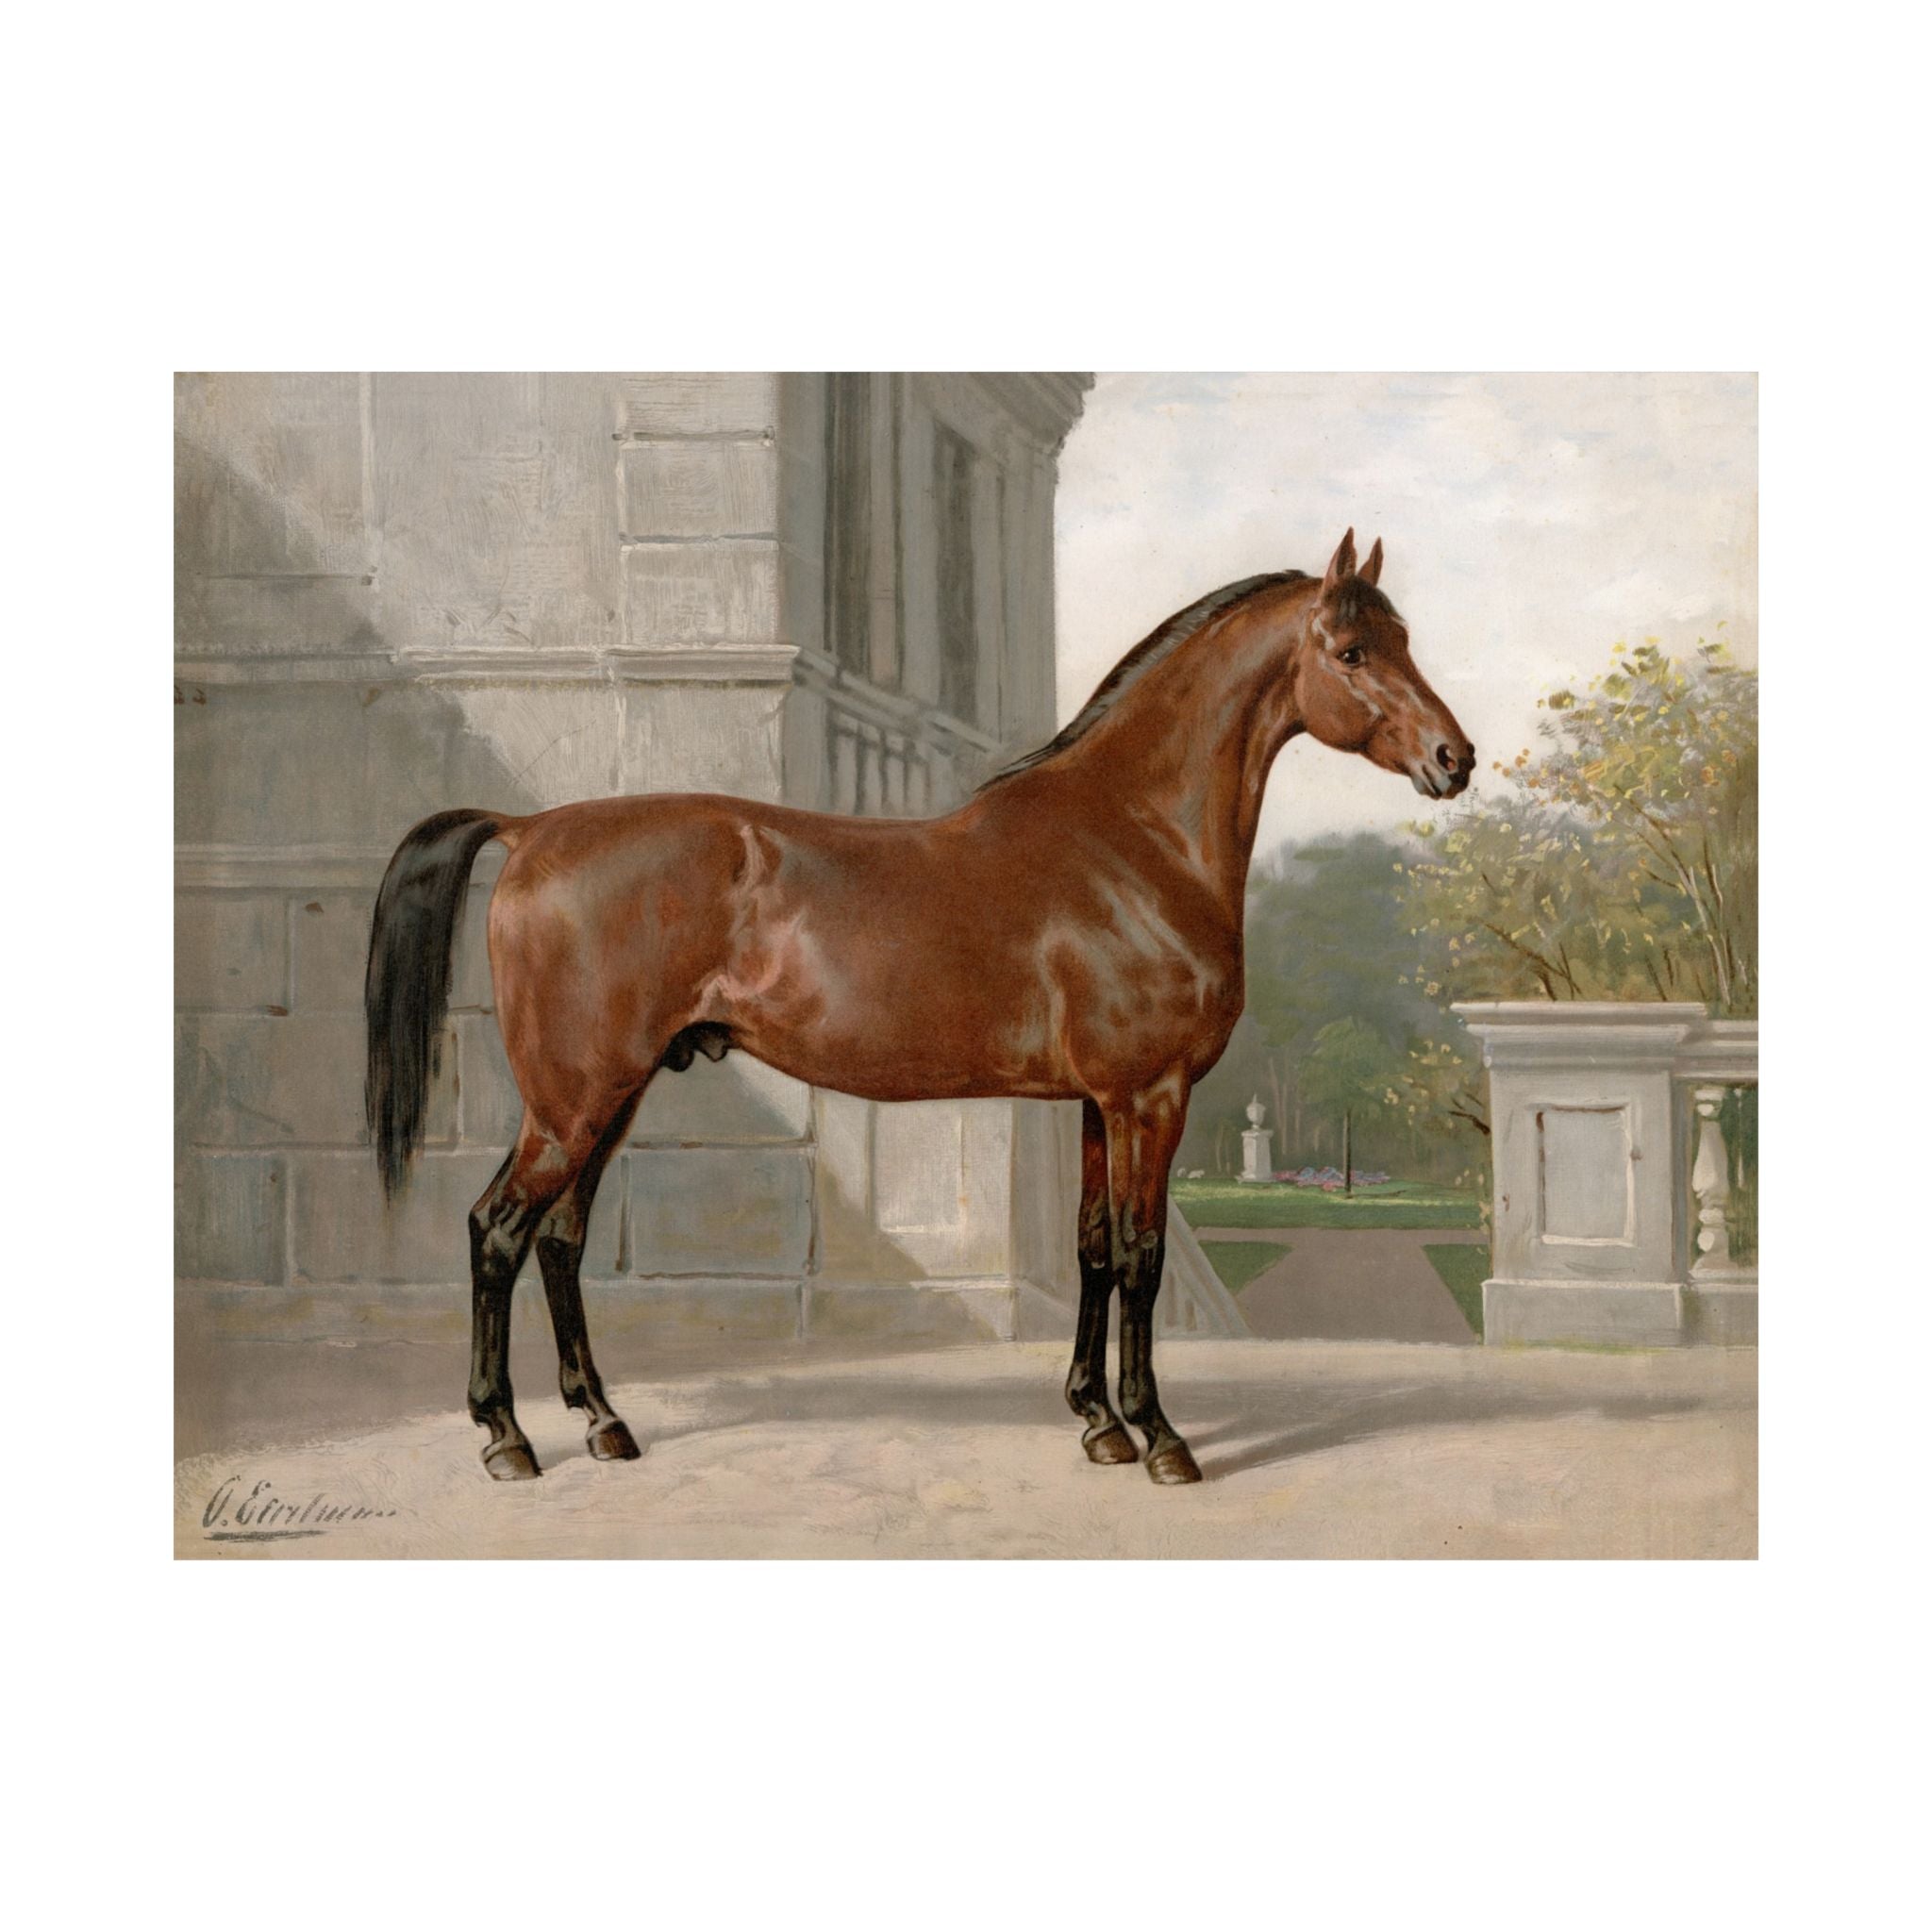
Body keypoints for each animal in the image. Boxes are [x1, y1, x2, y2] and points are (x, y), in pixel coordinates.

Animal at [364, 529, 1474, 1485]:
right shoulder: (1148, 1097)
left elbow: (1090, 1250)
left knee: (559, 1238)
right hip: (573, 1098)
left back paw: (602, 1421)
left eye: (1406, 640)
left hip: (614, 1095)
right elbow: (1142, 1257)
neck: (1133, 838)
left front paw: (1096, 1422)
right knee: (497, 1230)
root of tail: (532, 827)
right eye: (1352, 650)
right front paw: (1159, 1436)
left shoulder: (1095, 1104)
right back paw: (506, 1438)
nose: (1452, 760)